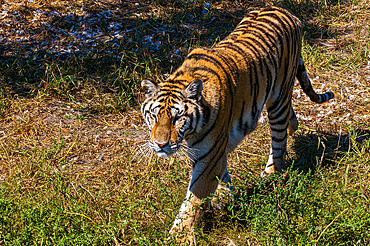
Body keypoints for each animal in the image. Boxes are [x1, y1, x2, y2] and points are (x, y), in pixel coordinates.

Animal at [139, 5, 336, 244]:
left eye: (177, 118)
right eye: (154, 116)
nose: (160, 145)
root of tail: (284, 10)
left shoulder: (208, 155)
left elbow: (193, 201)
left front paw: (179, 237)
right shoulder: (214, 152)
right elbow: (221, 176)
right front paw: (226, 198)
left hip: (278, 99)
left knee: (279, 143)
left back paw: (270, 176)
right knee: (290, 120)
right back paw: (294, 125)